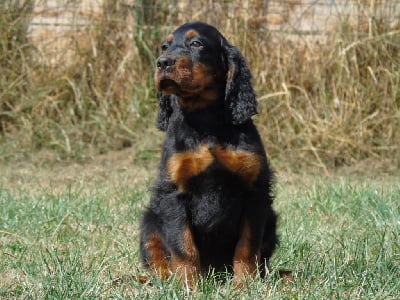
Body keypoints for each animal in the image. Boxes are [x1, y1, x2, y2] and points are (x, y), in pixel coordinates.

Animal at [139, 21, 276, 286]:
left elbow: (247, 245)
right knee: (156, 258)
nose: (162, 63)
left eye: (196, 44)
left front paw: (244, 284)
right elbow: (183, 246)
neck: (205, 122)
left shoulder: (255, 191)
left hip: (272, 218)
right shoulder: (173, 192)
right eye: (164, 46)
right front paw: (186, 285)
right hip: (150, 219)